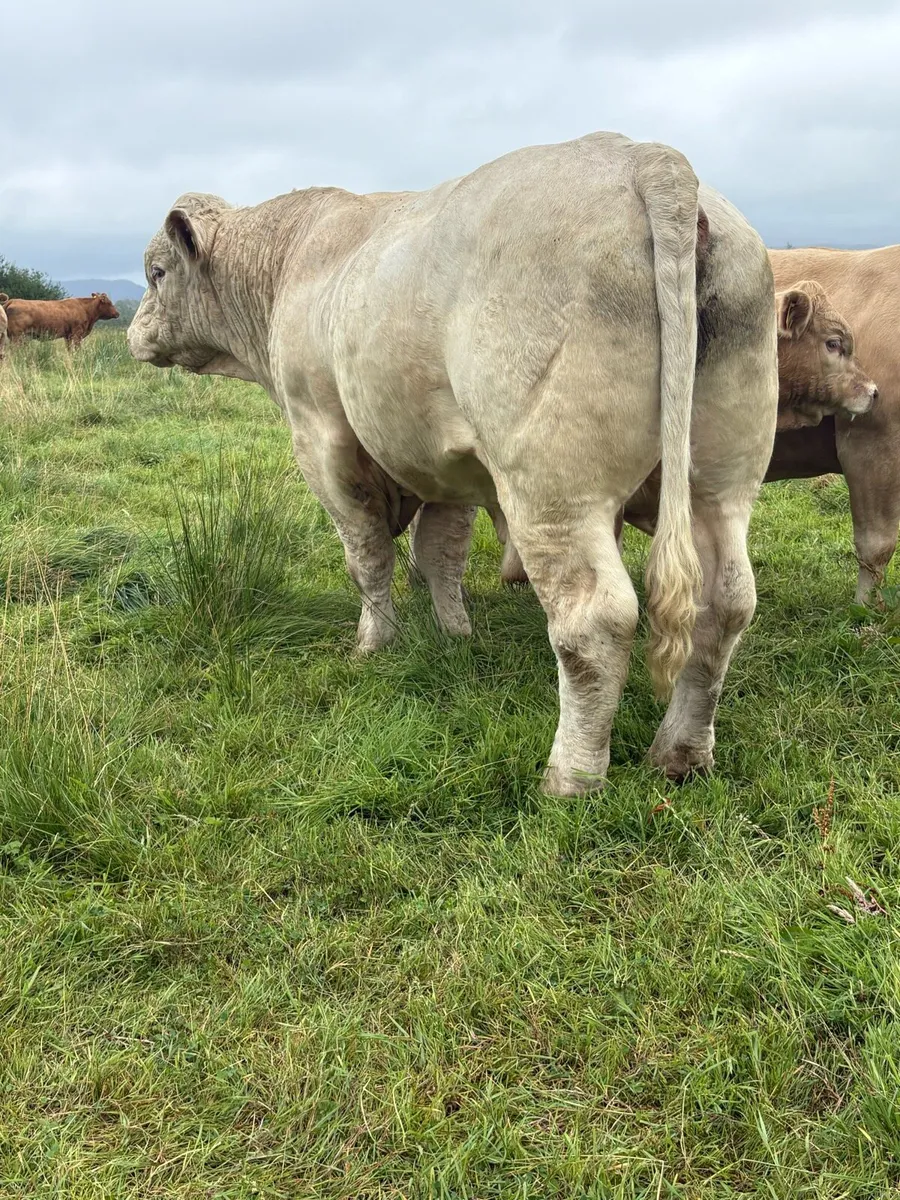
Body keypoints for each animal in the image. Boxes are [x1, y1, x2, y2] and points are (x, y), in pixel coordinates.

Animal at [128, 131, 778, 795]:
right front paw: (455, 636)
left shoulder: (322, 439)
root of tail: (645, 157)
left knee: (594, 621)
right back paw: (681, 754)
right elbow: (440, 552)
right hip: (720, 482)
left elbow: (367, 555)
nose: (133, 334)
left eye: (156, 272)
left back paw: (571, 777)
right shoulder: (445, 464)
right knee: (726, 602)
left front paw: (374, 642)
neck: (294, 261)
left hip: (552, 490)